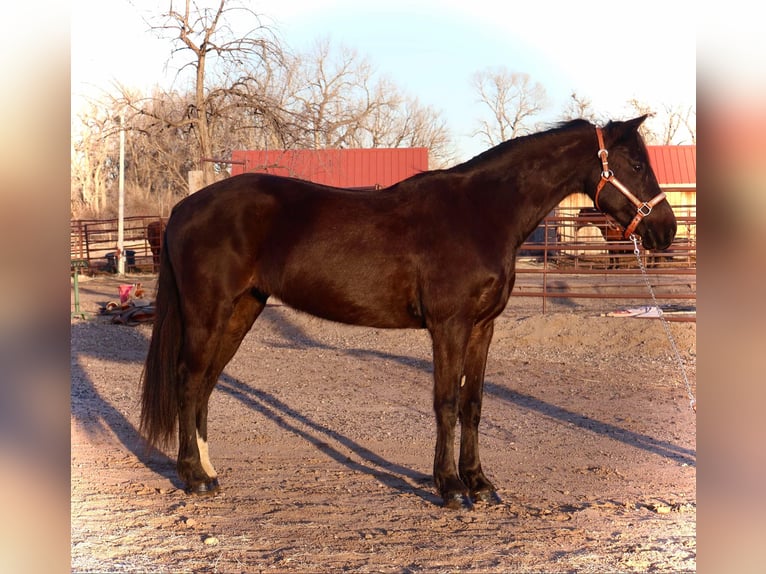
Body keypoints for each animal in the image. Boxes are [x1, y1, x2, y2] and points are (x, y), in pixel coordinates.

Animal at [140, 115, 680, 510]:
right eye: (635, 163)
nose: (667, 231)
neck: (481, 213)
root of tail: (184, 207)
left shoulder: (483, 327)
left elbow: (473, 404)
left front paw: (480, 483)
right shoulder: (449, 326)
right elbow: (445, 403)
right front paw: (450, 487)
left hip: (243, 310)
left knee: (206, 383)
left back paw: (209, 471)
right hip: (208, 312)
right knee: (189, 380)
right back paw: (193, 477)